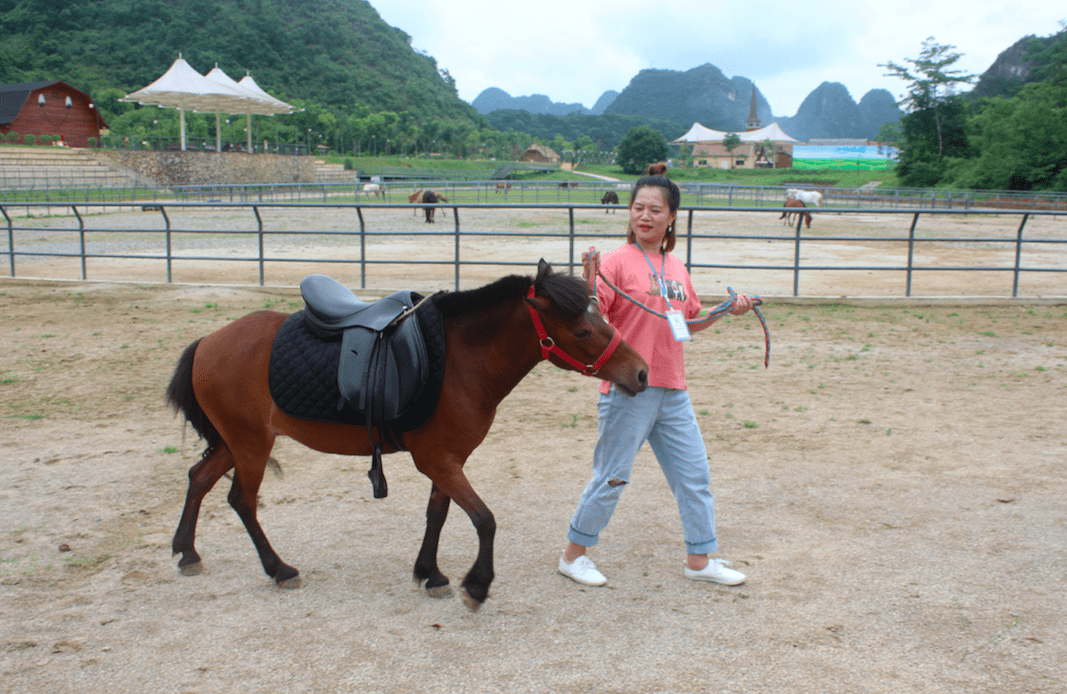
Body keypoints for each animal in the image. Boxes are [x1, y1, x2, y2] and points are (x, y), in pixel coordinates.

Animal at [164, 262, 648, 606]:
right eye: (583, 330)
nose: (642, 373)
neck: (458, 359)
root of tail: (208, 341)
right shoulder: (437, 460)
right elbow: (484, 519)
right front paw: (477, 584)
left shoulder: (448, 460)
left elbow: (439, 513)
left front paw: (430, 573)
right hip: (251, 444)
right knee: (241, 500)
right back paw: (279, 569)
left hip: (235, 442)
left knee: (199, 478)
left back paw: (187, 552)